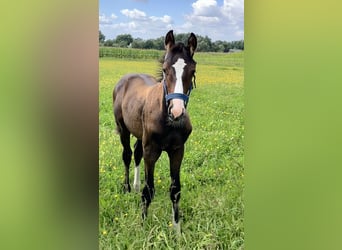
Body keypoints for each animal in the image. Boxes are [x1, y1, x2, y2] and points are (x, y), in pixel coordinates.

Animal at [113, 30, 196, 231]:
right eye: (165, 69)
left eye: (193, 71)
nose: (177, 112)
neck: (167, 120)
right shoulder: (151, 150)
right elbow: (148, 189)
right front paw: (143, 227)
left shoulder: (177, 150)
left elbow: (175, 190)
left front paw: (177, 231)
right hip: (123, 129)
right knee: (127, 155)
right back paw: (127, 187)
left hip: (139, 133)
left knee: (136, 153)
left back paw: (135, 186)